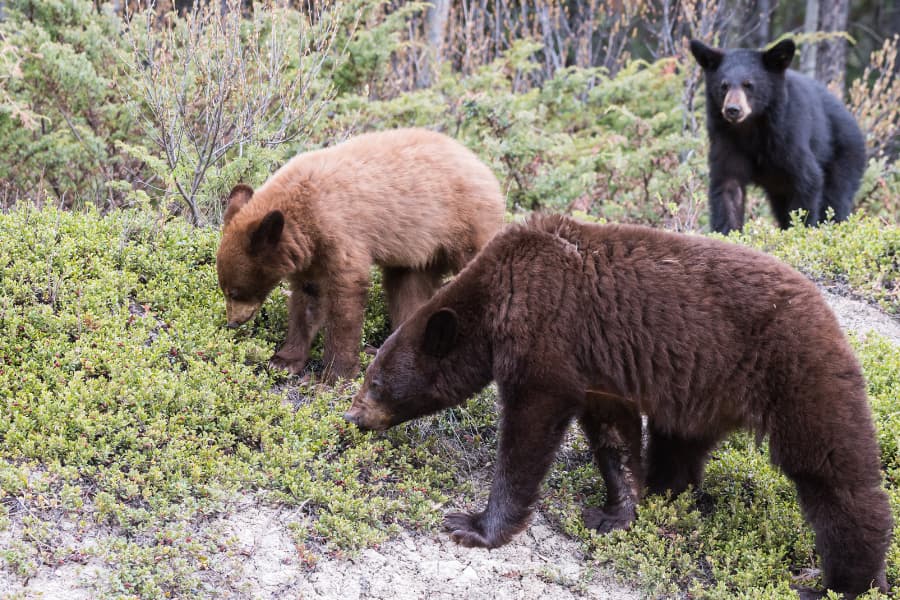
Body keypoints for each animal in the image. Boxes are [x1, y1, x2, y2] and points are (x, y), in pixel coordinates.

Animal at [216, 128, 505, 382]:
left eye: (235, 292)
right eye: (226, 290)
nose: (233, 323)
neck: (305, 208)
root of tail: (484, 168)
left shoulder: (341, 233)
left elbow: (345, 299)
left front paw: (333, 376)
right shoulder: (310, 255)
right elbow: (308, 301)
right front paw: (284, 360)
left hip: (465, 226)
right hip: (417, 254)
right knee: (407, 292)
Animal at [344, 214, 892, 598]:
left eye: (374, 382)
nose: (352, 417)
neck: (499, 295)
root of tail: (826, 308)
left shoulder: (548, 330)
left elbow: (530, 426)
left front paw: (474, 525)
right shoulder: (599, 366)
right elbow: (613, 434)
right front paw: (616, 511)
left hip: (795, 366)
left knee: (831, 469)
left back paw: (842, 582)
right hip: (703, 390)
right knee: (680, 443)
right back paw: (672, 491)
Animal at [689, 38, 866, 234]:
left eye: (748, 85)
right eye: (724, 86)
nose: (733, 110)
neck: (751, 127)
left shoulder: (788, 137)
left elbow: (807, 182)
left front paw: (800, 230)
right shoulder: (726, 141)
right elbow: (728, 187)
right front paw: (727, 233)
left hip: (844, 156)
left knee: (835, 200)